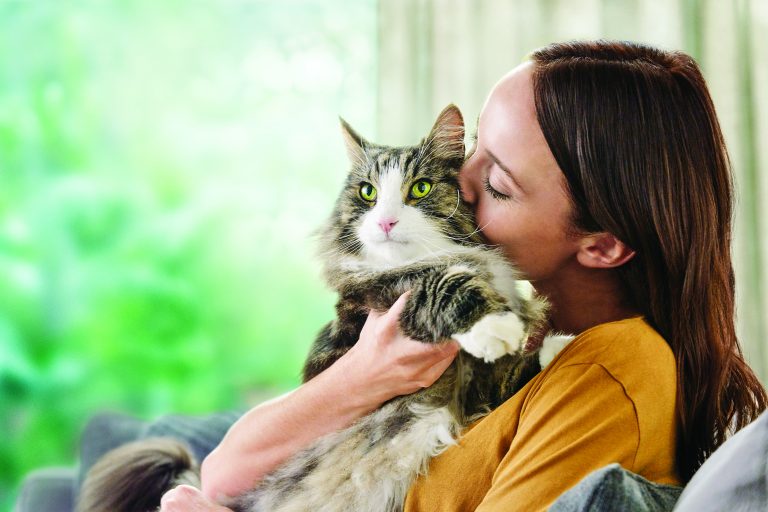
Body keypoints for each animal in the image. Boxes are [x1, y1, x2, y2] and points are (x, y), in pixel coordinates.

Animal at [79, 104, 568, 512]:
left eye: (420, 188)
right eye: (368, 193)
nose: (385, 222)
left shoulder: (472, 387)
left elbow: (513, 373)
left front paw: (557, 342)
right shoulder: (380, 299)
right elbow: (445, 290)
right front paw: (496, 327)